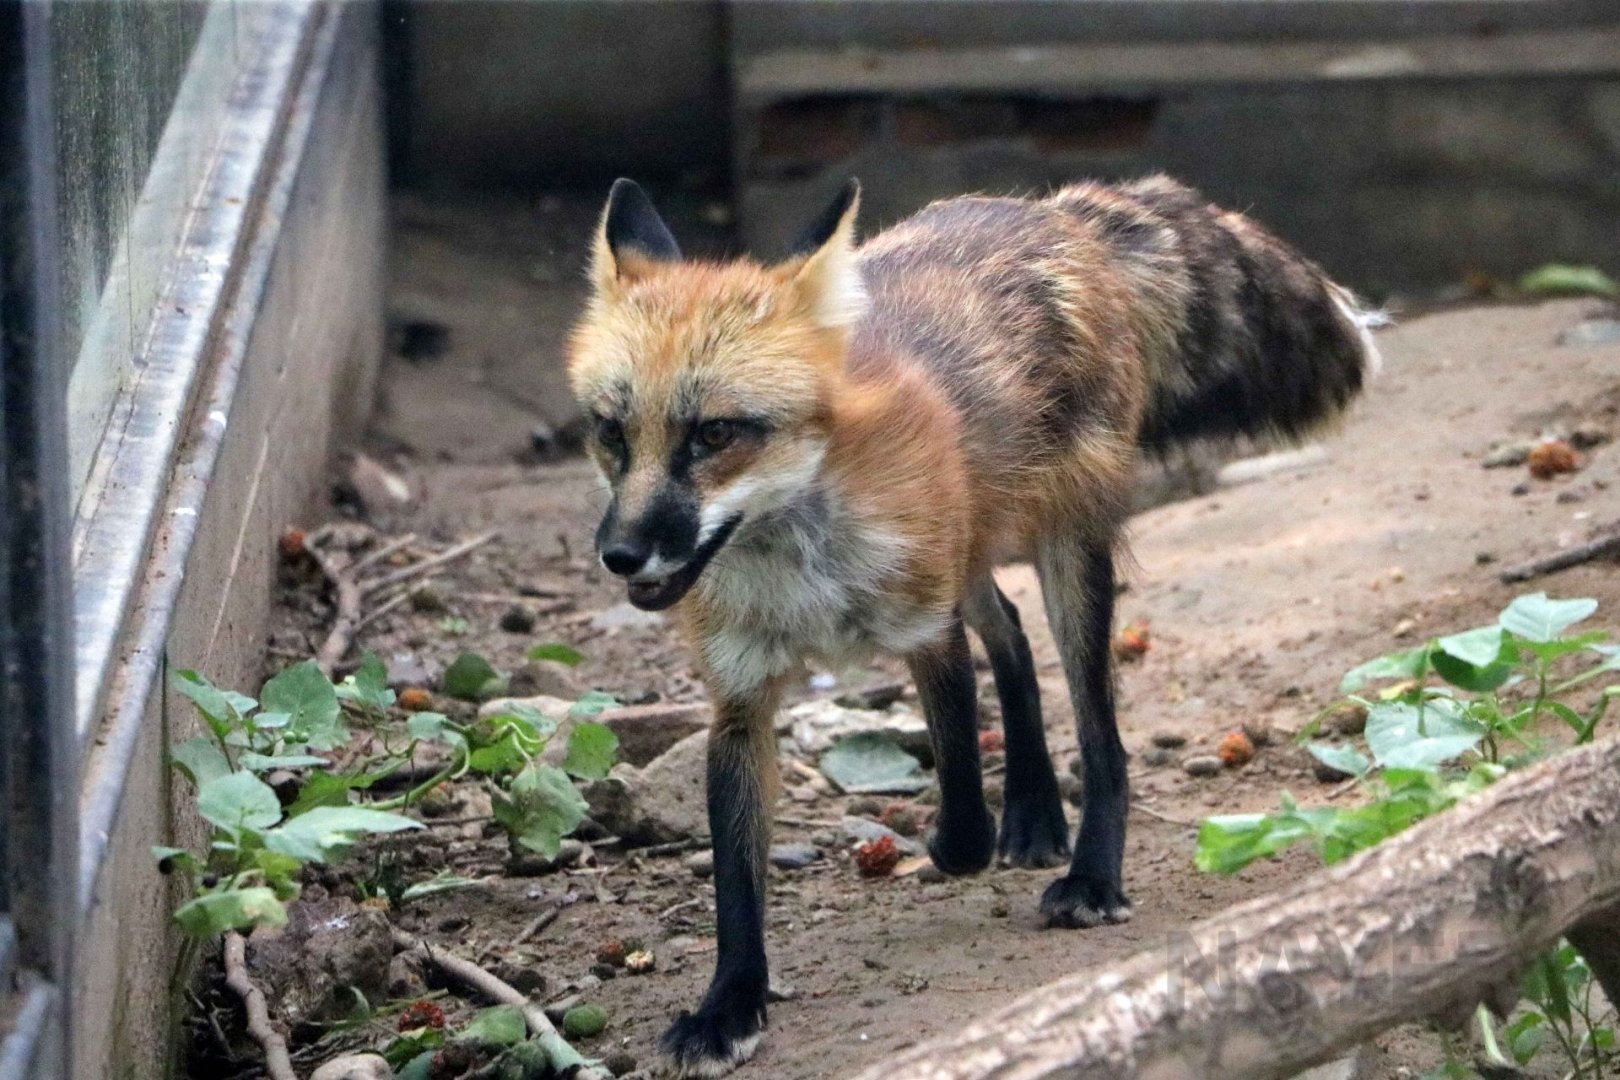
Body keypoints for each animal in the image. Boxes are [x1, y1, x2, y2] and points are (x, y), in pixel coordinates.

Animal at [567, 174, 1382, 1076]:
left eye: (714, 433)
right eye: (611, 432)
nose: (621, 554)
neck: (801, 568)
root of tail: (1050, 209)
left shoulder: (928, 630)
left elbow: (960, 800)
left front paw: (960, 847)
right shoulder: (740, 701)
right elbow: (735, 882)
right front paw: (729, 1006)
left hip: (1067, 555)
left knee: (1100, 732)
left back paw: (1091, 873)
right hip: (980, 551)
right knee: (1017, 637)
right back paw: (1034, 814)